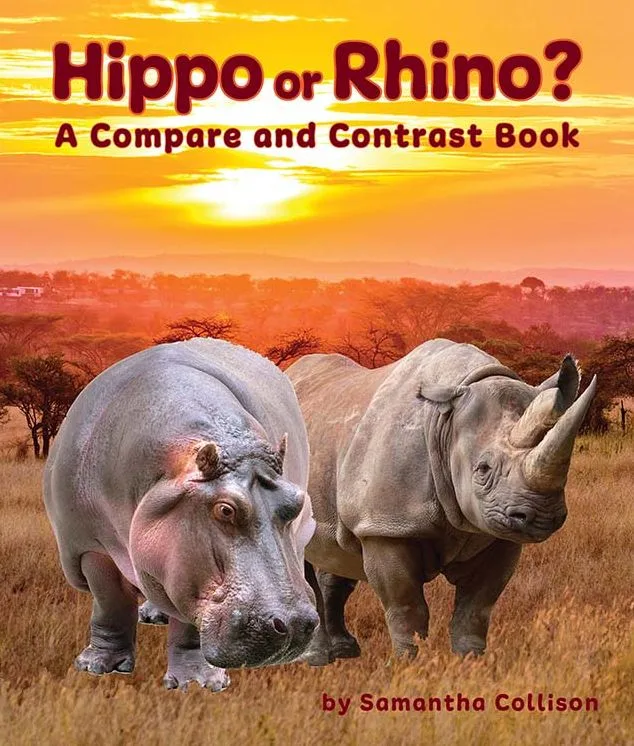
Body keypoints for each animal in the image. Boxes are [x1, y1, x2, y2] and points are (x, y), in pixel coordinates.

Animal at [44, 339, 319, 690]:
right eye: (225, 509)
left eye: (296, 500)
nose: (295, 624)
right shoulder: (91, 545)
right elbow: (110, 603)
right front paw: (97, 667)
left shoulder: (187, 573)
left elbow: (186, 624)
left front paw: (197, 683)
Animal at [286, 340, 596, 663]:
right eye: (482, 469)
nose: (542, 516)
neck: (446, 424)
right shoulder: (385, 527)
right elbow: (407, 608)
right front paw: (410, 665)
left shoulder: (497, 535)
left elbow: (476, 608)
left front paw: (471, 664)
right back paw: (314, 659)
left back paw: (345, 652)